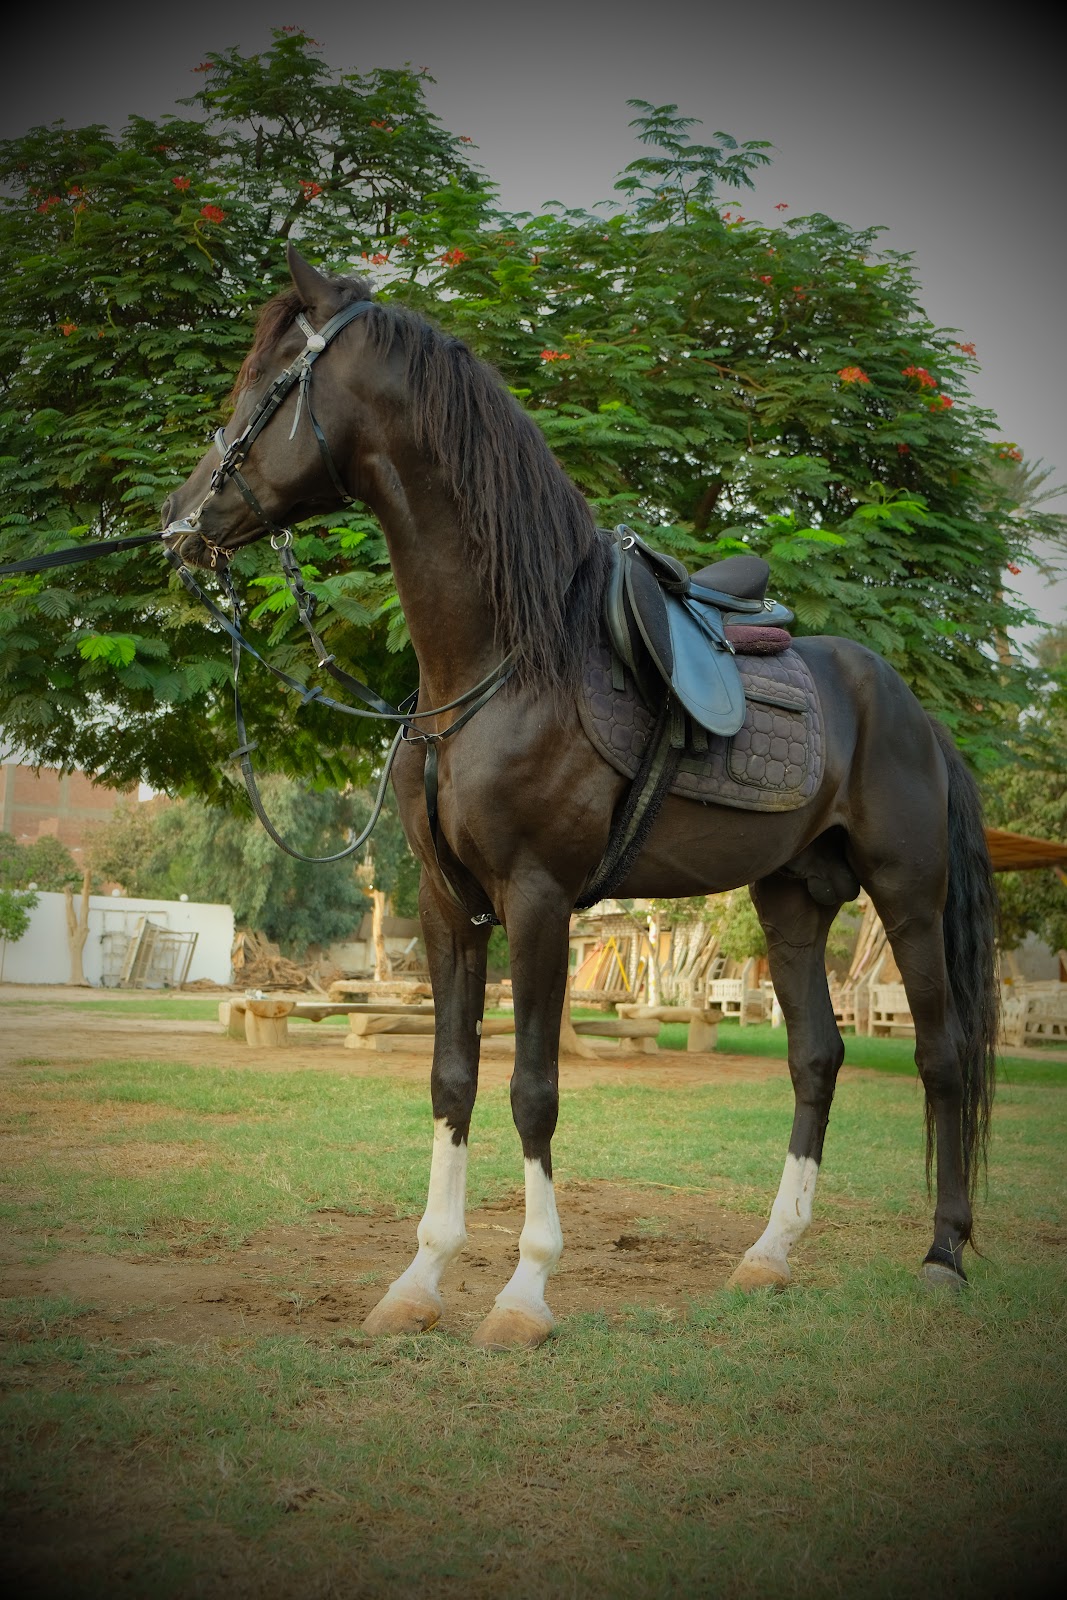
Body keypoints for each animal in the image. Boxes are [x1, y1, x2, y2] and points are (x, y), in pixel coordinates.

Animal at [162, 244, 998, 1350]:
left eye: (264, 385)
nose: (178, 525)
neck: (501, 664)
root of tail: (907, 708)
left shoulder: (536, 900)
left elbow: (532, 1091)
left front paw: (524, 1293)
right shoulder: (447, 905)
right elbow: (452, 1080)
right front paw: (420, 1279)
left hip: (905, 895)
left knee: (940, 1057)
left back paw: (942, 1256)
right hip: (790, 900)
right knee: (816, 1057)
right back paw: (768, 1255)